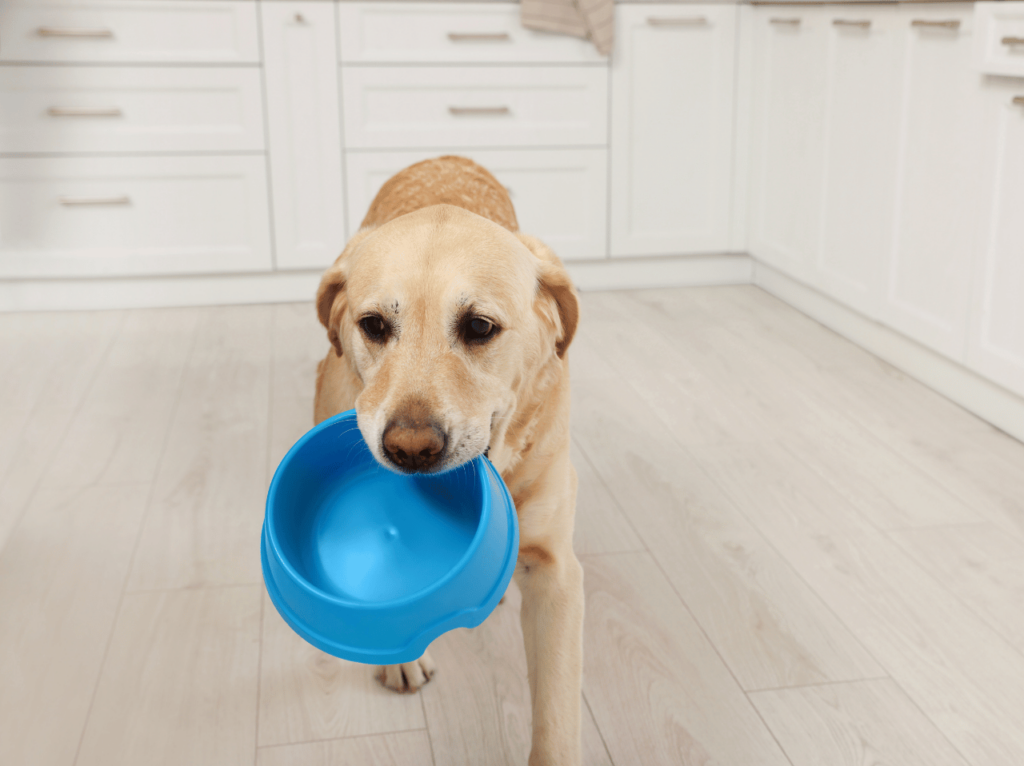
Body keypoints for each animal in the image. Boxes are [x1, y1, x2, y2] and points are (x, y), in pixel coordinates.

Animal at [311, 156, 585, 766]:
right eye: (373, 325)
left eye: (480, 327)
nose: (410, 449)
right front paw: (402, 657)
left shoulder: (557, 574)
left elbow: (557, 717)